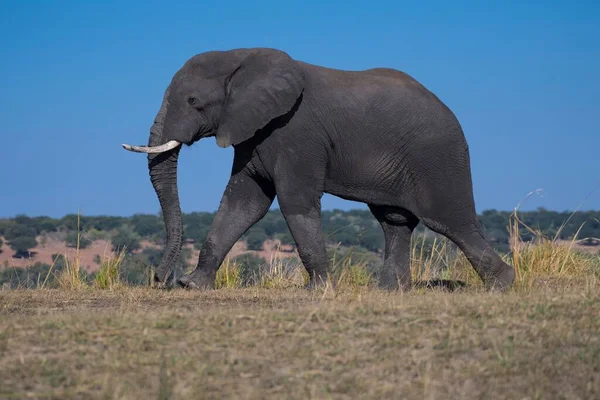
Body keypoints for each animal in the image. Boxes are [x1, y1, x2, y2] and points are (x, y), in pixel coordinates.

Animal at [122, 47, 516, 292]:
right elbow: (243, 203)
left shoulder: (297, 132)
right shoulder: (252, 133)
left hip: (438, 156)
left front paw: (320, 289)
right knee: (394, 221)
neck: (241, 56)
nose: (160, 279)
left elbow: (293, 201)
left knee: (451, 221)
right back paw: (391, 290)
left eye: (193, 101)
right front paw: (194, 285)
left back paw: (502, 284)